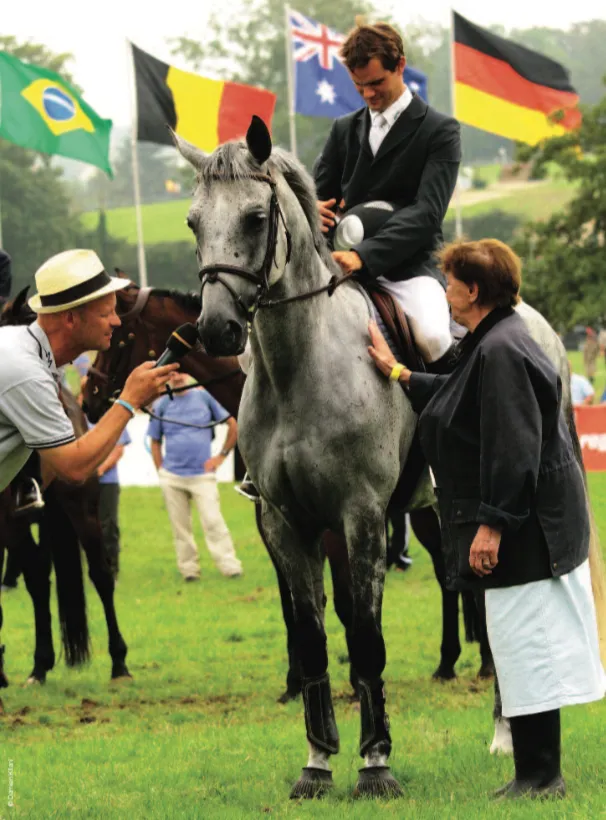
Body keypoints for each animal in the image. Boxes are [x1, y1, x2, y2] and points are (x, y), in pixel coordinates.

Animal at [170, 116, 581, 799]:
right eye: (193, 221)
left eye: (255, 218)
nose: (217, 329)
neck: (300, 367)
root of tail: (531, 316)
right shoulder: (286, 522)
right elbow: (313, 638)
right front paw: (316, 763)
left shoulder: (360, 517)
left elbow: (365, 639)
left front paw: (375, 764)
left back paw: (504, 733)